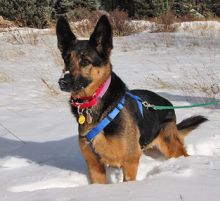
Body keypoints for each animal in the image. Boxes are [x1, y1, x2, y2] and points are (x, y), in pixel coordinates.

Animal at [55, 14, 207, 183]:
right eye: (66, 59)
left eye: (85, 61)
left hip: (170, 147)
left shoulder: (129, 162)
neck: (97, 104)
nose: (62, 82)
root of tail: (167, 104)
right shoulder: (95, 166)